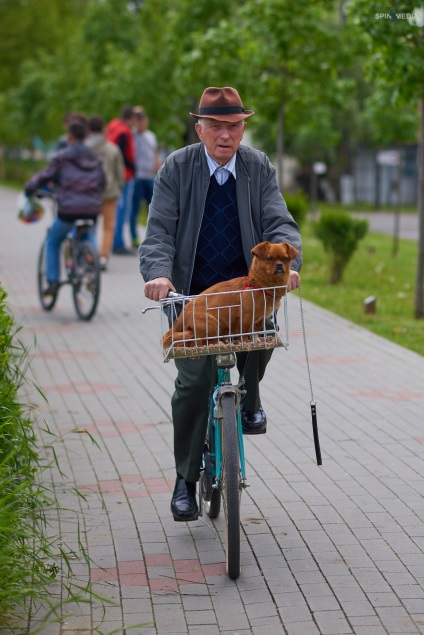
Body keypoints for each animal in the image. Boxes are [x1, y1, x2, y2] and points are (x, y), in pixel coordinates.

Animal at [161, 242, 298, 350]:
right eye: (269, 258)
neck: (258, 285)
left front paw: (257, 341)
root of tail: (180, 318)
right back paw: (219, 344)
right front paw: (247, 343)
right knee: (206, 342)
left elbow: (255, 332)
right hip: (211, 323)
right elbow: (245, 333)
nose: (279, 265)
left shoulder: (260, 319)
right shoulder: (246, 317)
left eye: (285, 258)